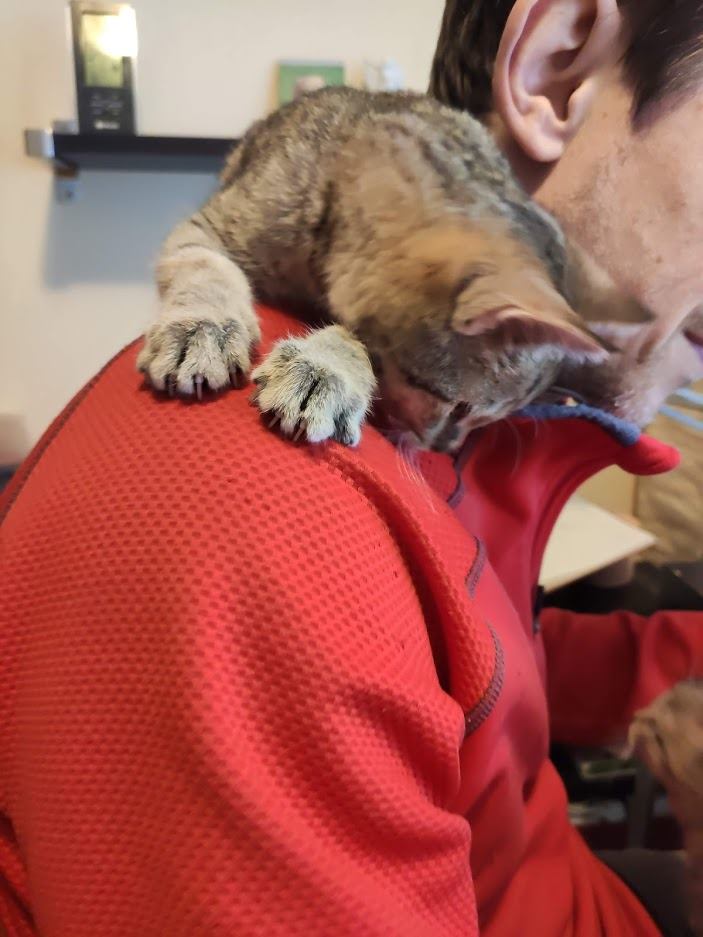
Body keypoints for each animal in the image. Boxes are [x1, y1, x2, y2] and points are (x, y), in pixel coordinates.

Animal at [137, 87, 665, 453]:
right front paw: (204, 326)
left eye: (482, 420)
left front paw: (328, 366)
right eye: (462, 409)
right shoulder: (207, 225)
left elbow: (358, 338)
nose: (446, 449)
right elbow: (206, 267)